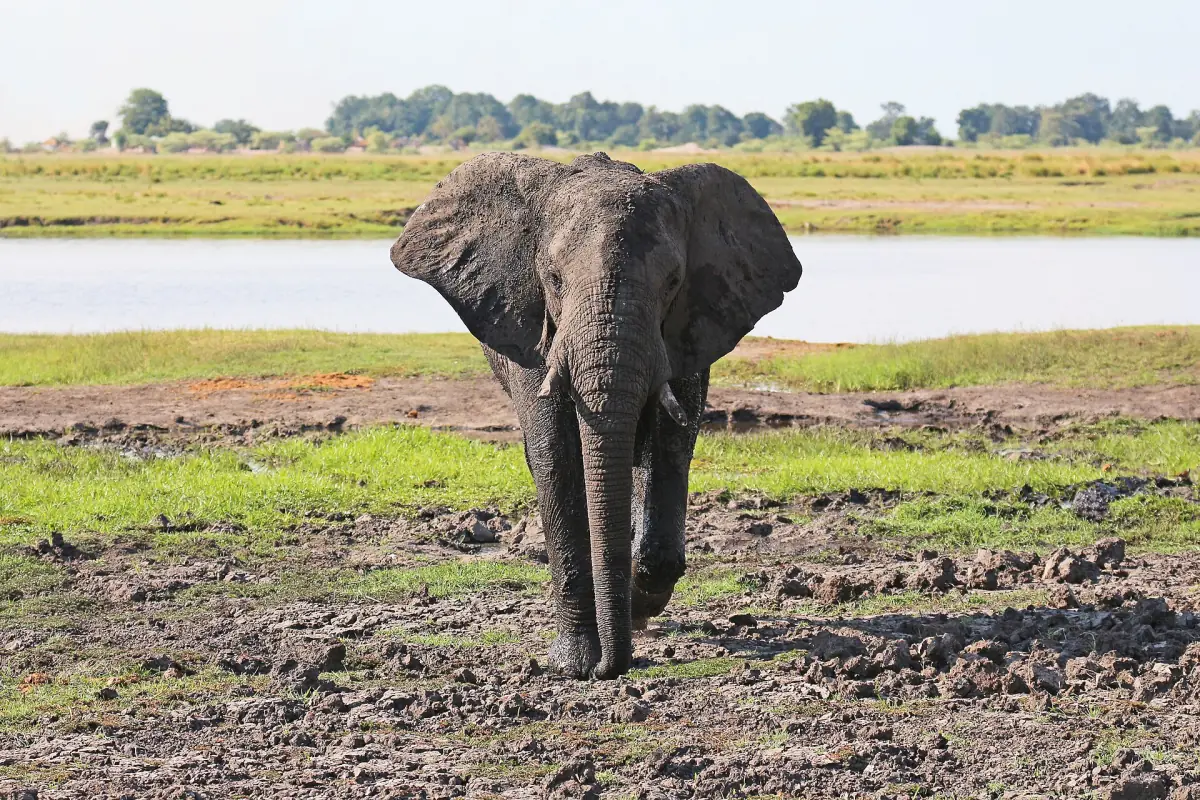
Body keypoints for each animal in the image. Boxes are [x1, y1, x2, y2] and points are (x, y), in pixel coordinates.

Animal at [390, 151, 801, 679]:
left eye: (673, 282)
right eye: (552, 279)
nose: (613, 666)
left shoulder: (686, 330)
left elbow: (670, 442)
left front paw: (636, 607)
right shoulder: (535, 328)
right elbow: (555, 456)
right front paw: (576, 663)